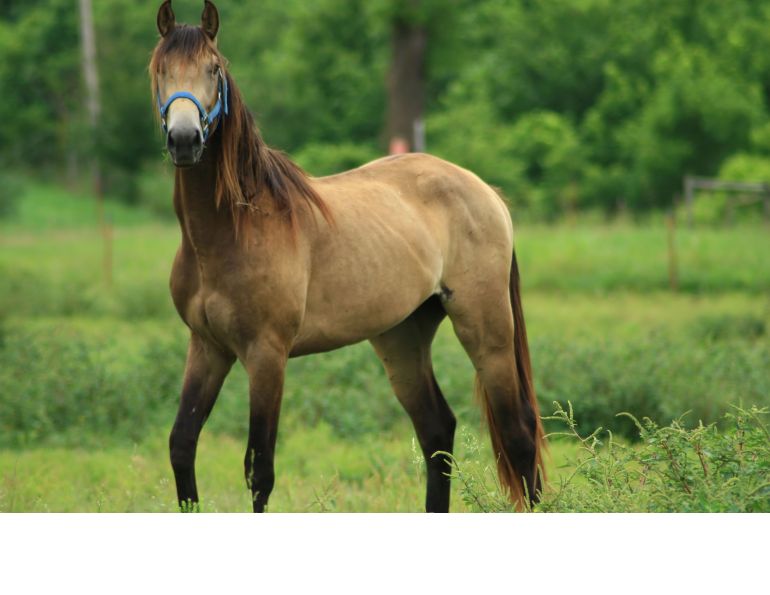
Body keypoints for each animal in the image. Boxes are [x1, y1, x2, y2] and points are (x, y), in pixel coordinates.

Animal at [150, 0, 545, 512]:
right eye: (159, 69)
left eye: (213, 69)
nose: (184, 140)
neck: (233, 228)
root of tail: (485, 191)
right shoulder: (207, 347)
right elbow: (182, 445)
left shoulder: (266, 354)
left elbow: (260, 471)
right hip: (401, 337)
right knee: (437, 431)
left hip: (486, 329)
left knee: (518, 434)